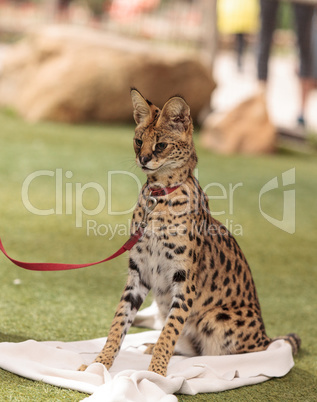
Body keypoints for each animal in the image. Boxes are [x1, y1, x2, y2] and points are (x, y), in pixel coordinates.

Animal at [78, 88, 298, 376]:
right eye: (138, 141)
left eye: (161, 145)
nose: (143, 159)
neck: (158, 195)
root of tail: (265, 336)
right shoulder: (138, 273)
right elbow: (119, 323)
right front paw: (100, 364)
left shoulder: (184, 281)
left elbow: (169, 331)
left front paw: (155, 374)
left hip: (216, 319)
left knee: (247, 352)